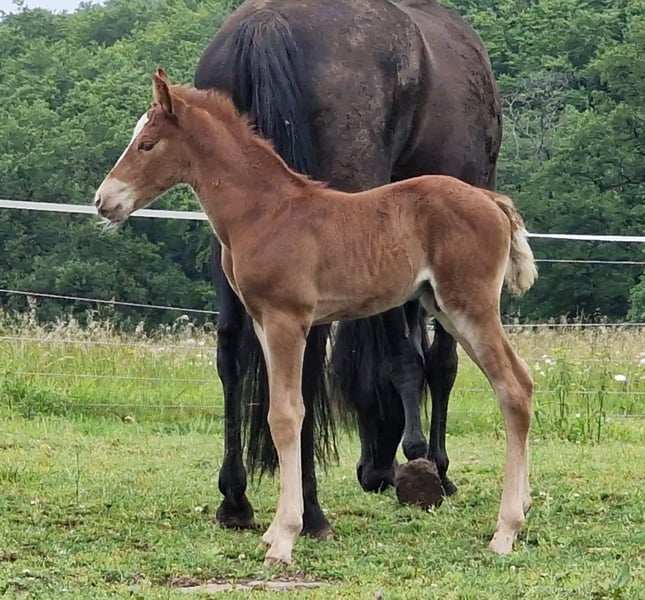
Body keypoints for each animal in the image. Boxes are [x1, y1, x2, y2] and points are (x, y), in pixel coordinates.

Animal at [94, 68, 536, 564]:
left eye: (147, 143)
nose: (103, 200)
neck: (265, 212)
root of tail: (492, 200)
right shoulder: (263, 322)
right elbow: (274, 411)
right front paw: (273, 531)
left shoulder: (288, 319)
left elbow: (287, 415)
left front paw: (285, 537)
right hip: (445, 307)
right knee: (520, 383)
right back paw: (522, 509)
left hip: (470, 304)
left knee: (513, 388)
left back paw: (505, 531)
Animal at [192, 0, 502, 537]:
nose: (372, 472)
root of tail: (267, 22)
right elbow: (434, 360)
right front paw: (435, 468)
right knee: (306, 359)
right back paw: (311, 511)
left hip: (228, 240)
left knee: (230, 348)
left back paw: (235, 500)